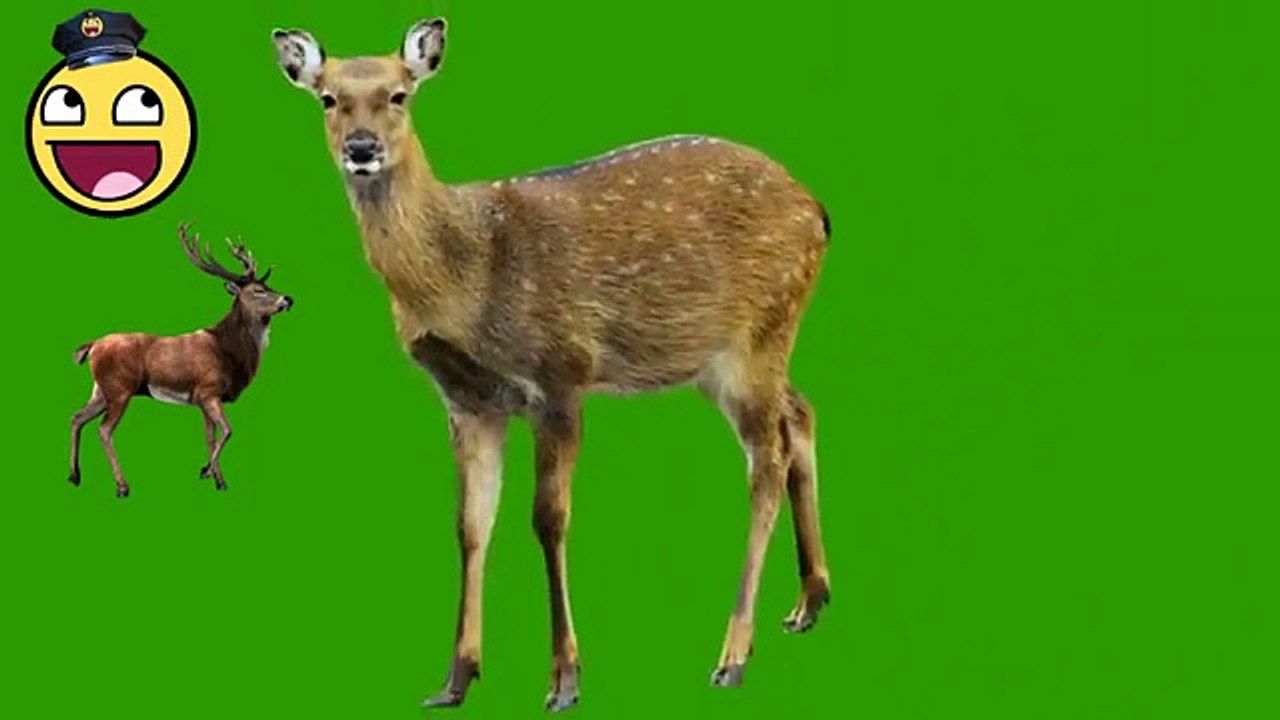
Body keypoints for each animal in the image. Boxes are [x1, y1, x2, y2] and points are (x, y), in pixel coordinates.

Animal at [69, 223, 293, 498]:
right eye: (258, 290)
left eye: (269, 285)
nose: (288, 299)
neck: (230, 354)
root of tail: (92, 347)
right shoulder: (208, 390)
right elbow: (228, 431)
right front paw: (207, 471)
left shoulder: (204, 400)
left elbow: (211, 437)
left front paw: (219, 481)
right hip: (119, 387)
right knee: (104, 430)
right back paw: (122, 486)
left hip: (101, 390)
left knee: (77, 418)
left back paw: (74, 476)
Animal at [272, 16, 832, 712]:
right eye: (328, 98)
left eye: (400, 94)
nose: (362, 147)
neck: (465, 275)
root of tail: (820, 213)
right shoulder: (469, 401)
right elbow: (470, 525)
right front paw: (455, 678)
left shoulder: (561, 372)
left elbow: (548, 518)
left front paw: (565, 679)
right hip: (733, 353)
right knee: (800, 414)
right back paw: (809, 602)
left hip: (756, 336)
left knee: (766, 460)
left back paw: (732, 654)